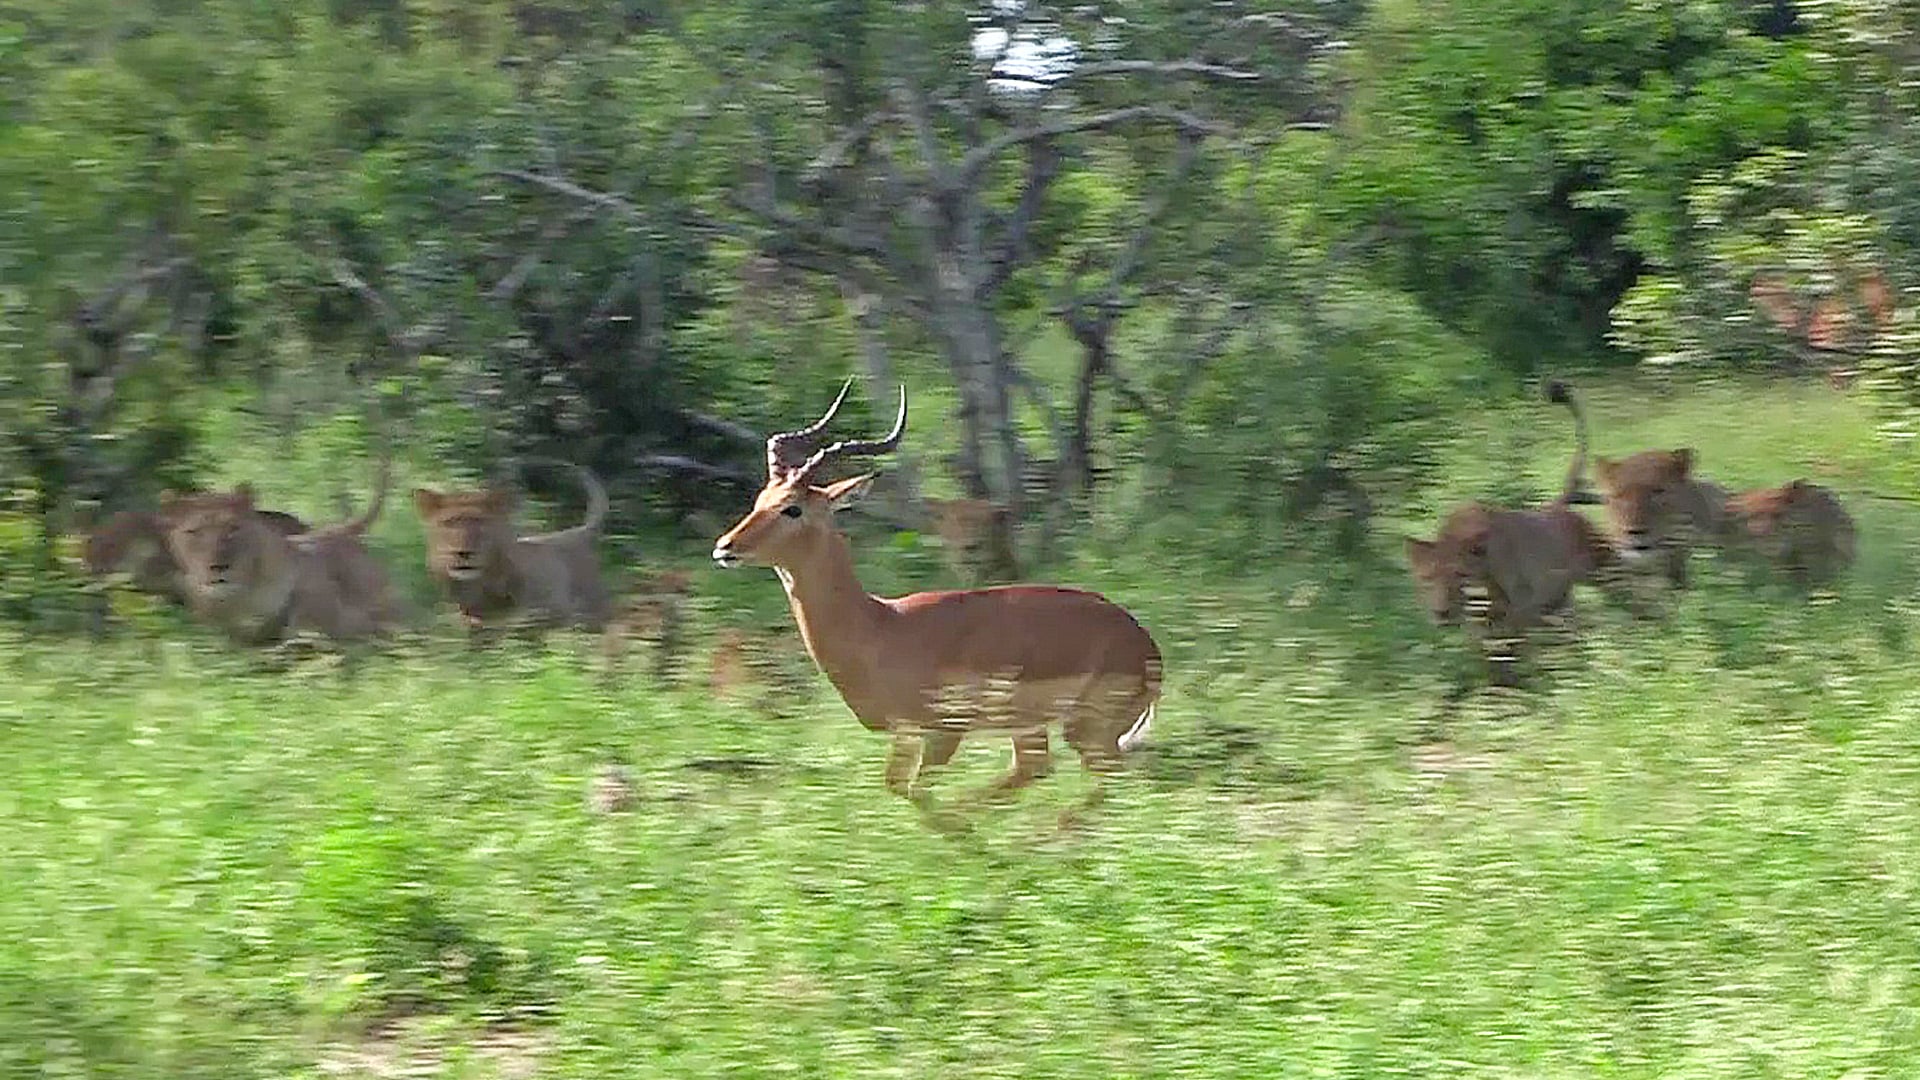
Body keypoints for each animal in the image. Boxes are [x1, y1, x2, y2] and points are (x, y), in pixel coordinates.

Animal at [710, 378, 1164, 829]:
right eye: (760, 499)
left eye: (793, 508)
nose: (725, 548)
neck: (879, 628)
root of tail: (1146, 647)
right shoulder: (906, 734)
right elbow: (899, 787)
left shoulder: (944, 731)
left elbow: (918, 790)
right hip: (1034, 729)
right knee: (1040, 770)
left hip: (1083, 730)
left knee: (1109, 780)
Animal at [1406, 380, 1617, 683]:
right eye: (1426, 579)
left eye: (1458, 576)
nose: (1441, 613)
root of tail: (1555, 504)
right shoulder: (1486, 626)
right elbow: (1492, 658)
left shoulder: (1519, 612)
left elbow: (1511, 650)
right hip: (1560, 598)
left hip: (1601, 567)